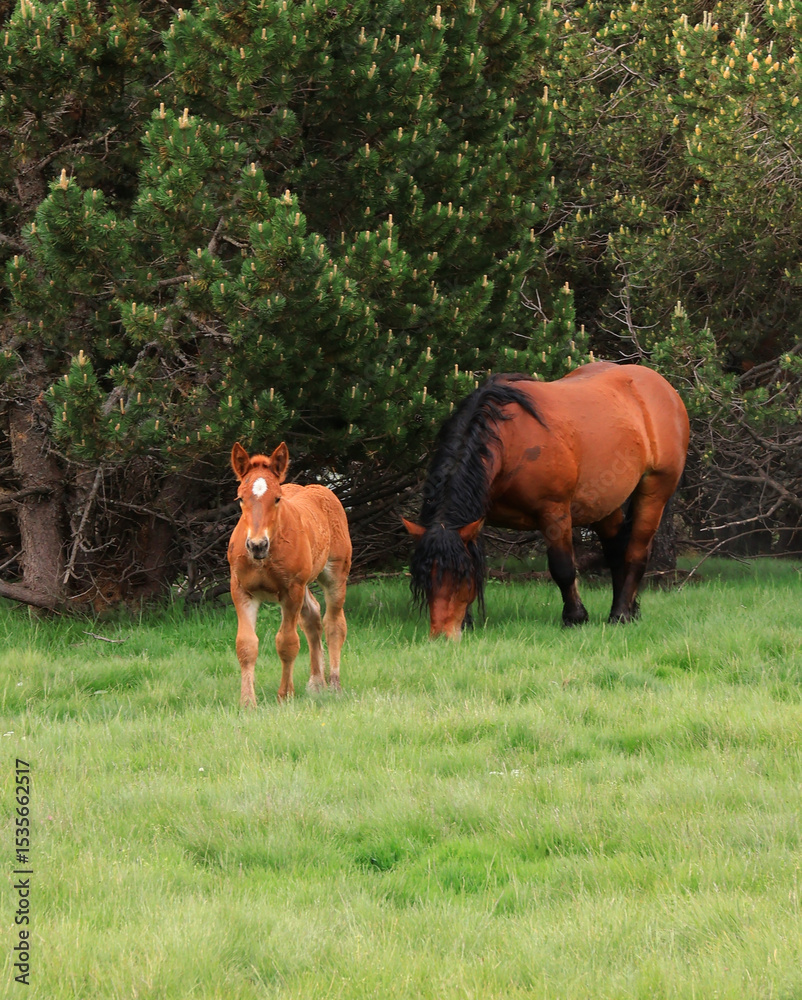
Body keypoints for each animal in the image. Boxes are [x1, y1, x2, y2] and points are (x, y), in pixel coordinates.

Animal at [228, 442, 351, 706]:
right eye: (240, 498)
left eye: (276, 499)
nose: (256, 545)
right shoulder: (241, 590)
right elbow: (246, 645)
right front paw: (247, 702)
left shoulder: (291, 590)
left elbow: (287, 642)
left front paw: (285, 695)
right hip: (304, 584)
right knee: (312, 617)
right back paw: (316, 683)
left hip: (335, 574)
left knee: (334, 623)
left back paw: (334, 685)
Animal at [403, 362, 689, 638]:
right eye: (424, 579)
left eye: (460, 578)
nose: (442, 635)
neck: (510, 439)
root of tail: (662, 386)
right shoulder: (476, 518)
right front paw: (468, 622)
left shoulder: (555, 512)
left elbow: (563, 568)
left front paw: (575, 617)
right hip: (603, 502)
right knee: (616, 550)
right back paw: (628, 609)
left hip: (655, 491)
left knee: (636, 553)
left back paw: (620, 614)